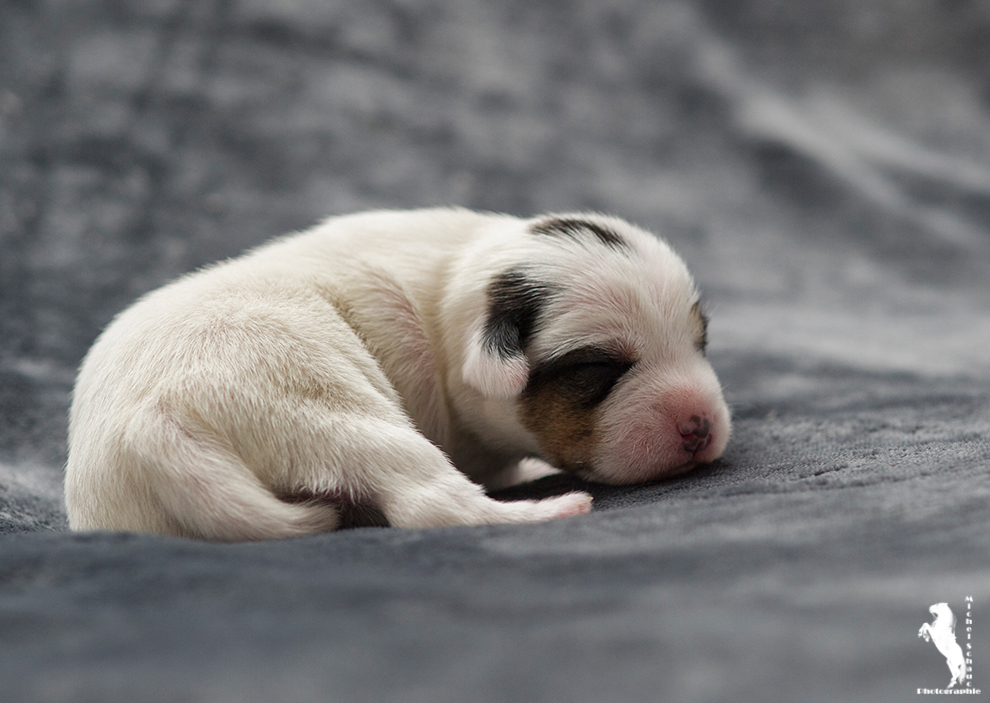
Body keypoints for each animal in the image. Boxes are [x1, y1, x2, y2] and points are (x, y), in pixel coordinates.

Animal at [62, 206, 728, 540]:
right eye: (597, 368)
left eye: (701, 341)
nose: (700, 425)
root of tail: (156, 424)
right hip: (324, 404)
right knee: (430, 505)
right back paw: (548, 511)